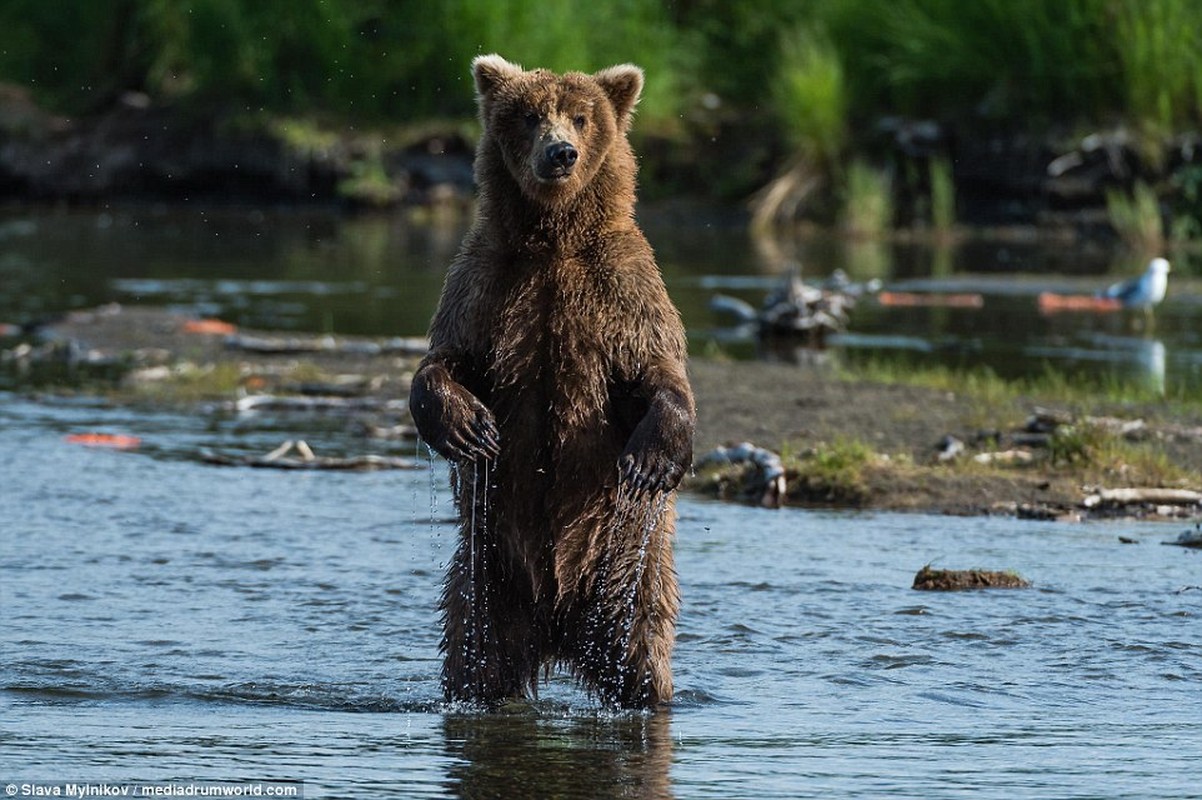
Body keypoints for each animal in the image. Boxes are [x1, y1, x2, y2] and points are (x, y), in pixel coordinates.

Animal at [411, 52, 697, 706]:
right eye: (528, 115)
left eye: (582, 116)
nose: (560, 153)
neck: (553, 241)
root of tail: (559, 633)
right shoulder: (488, 286)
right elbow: (446, 358)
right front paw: (469, 429)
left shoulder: (620, 291)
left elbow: (657, 368)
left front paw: (652, 459)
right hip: (486, 576)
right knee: (474, 654)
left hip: (630, 573)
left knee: (646, 651)